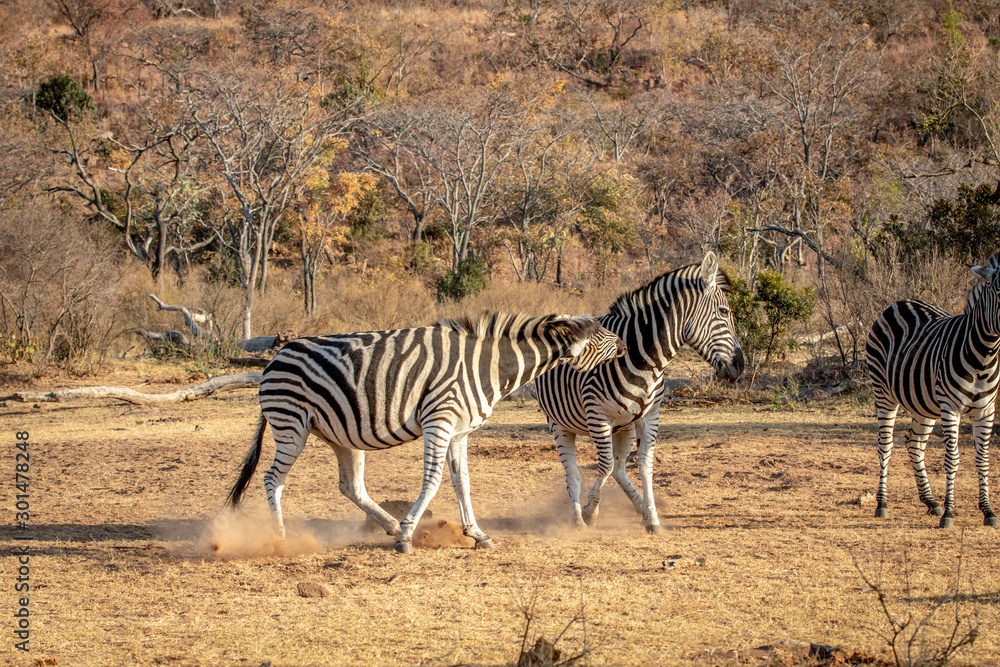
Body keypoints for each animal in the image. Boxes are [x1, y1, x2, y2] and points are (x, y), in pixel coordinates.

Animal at [226, 312, 626, 553]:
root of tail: (275, 359)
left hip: (339, 434)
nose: (623, 344)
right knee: (273, 479)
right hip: (291, 424)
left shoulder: (459, 431)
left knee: (350, 486)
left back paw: (387, 525)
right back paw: (280, 536)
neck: (488, 367)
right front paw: (407, 535)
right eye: (600, 334)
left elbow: (462, 482)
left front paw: (476, 533)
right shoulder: (440, 421)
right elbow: (432, 480)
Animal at [535, 251, 744, 533]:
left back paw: (639, 507)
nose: (740, 367)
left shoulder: (650, 415)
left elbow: (645, 465)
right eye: (724, 312)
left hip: (624, 426)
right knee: (575, 474)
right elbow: (604, 466)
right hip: (560, 424)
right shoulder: (597, 415)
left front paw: (652, 517)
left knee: (620, 468)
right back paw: (578, 518)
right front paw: (590, 511)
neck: (644, 357)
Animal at [867, 250, 1000, 528]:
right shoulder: (951, 408)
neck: (984, 356)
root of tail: (900, 302)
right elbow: (952, 459)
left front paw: (988, 511)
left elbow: (983, 459)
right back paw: (882, 503)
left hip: (923, 403)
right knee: (885, 444)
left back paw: (930, 501)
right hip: (883, 393)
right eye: (998, 290)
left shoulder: (987, 409)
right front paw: (950, 513)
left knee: (914, 444)